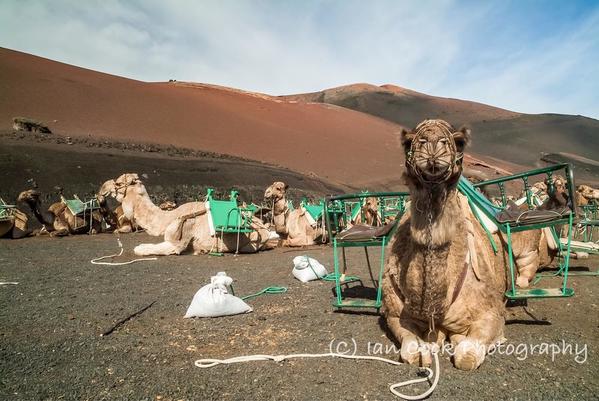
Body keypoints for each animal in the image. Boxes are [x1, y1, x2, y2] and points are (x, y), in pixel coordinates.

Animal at [99, 173, 278, 255]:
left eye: (118, 183)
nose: (102, 189)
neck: (168, 218)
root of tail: (266, 230)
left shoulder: (178, 240)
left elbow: (143, 249)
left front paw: (140, 248)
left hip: (251, 244)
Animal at [384, 120, 548, 370]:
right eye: (408, 142)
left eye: (459, 142)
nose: (432, 145)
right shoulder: (394, 314)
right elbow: (411, 349)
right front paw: (433, 343)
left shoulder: (491, 313)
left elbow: (466, 357)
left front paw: (458, 340)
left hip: (525, 241)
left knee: (526, 266)